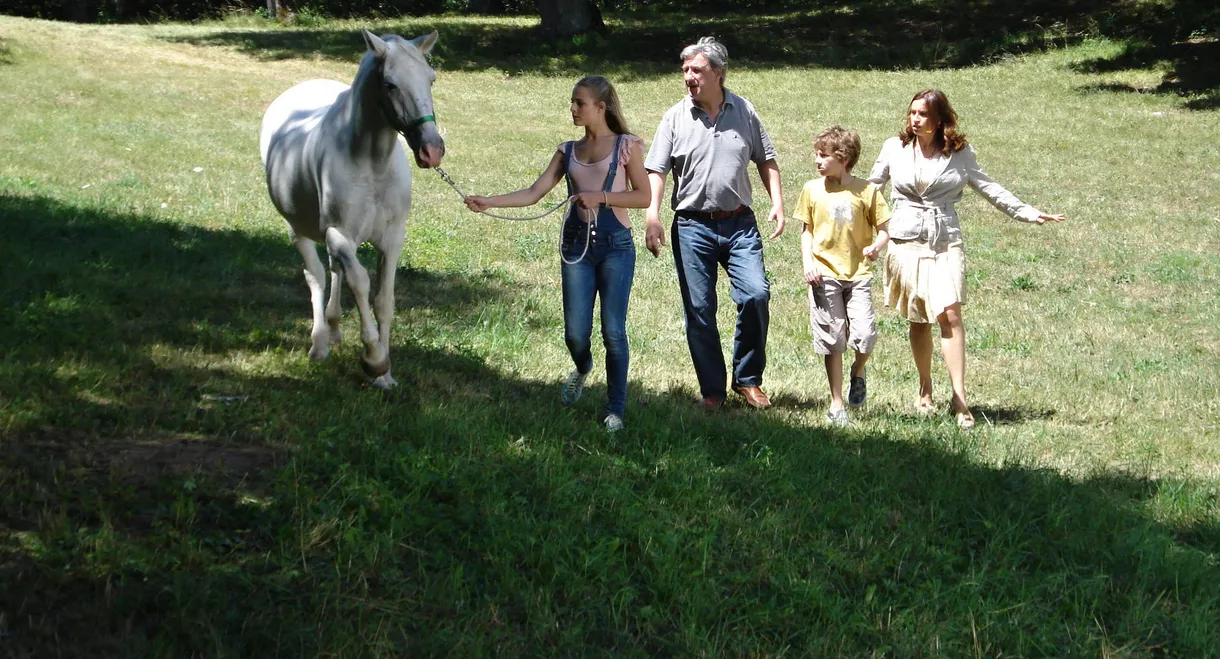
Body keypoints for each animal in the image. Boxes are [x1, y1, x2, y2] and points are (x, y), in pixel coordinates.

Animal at [259, 29, 444, 389]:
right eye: (390, 84)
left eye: (431, 79)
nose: (432, 150)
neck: (372, 164)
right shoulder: (339, 235)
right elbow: (360, 282)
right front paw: (373, 359)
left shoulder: (392, 238)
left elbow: (384, 300)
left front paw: (385, 376)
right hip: (299, 229)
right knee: (317, 275)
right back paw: (319, 345)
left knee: (333, 271)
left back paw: (333, 331)